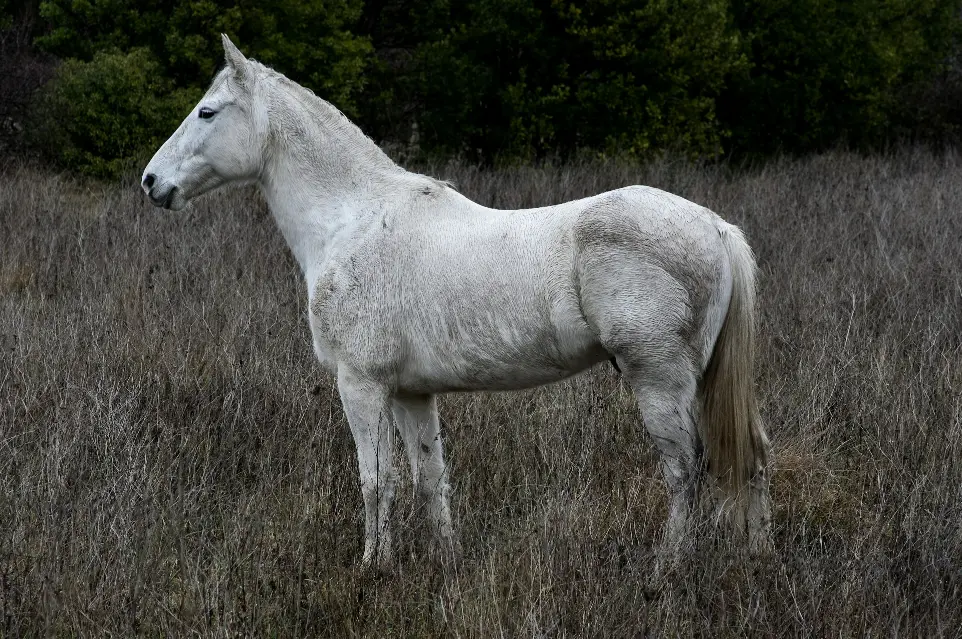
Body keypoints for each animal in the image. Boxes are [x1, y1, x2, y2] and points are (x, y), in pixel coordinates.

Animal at [142, 35, 773, 572]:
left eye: (207, 112)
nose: (151, 182)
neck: (353, 221)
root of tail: (716, 227)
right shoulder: (411, 393)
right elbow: (429, 478)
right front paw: (445, 560)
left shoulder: (361, 384)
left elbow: (377, 481)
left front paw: (373, 567)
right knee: (751, 455)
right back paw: (758, 559)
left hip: (658, 379)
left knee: (685, 470)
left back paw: (667, 567)